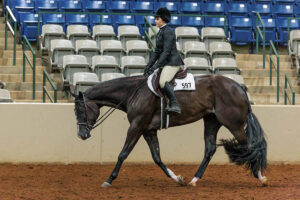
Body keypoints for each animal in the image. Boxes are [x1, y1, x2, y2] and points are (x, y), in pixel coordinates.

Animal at [72, 74, 268, 188]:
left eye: (80, 109)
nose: (82, 135)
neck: (133, 92)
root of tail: (238, 87)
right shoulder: (148, 130)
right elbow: (157, 157)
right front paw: (177, 178)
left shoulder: (136, 126)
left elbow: (123, 154)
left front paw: (109, 179)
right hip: (212, 121)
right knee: (210, 149)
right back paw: (194, 180)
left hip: (233, 124)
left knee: (250, 147)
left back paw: (260, 177)